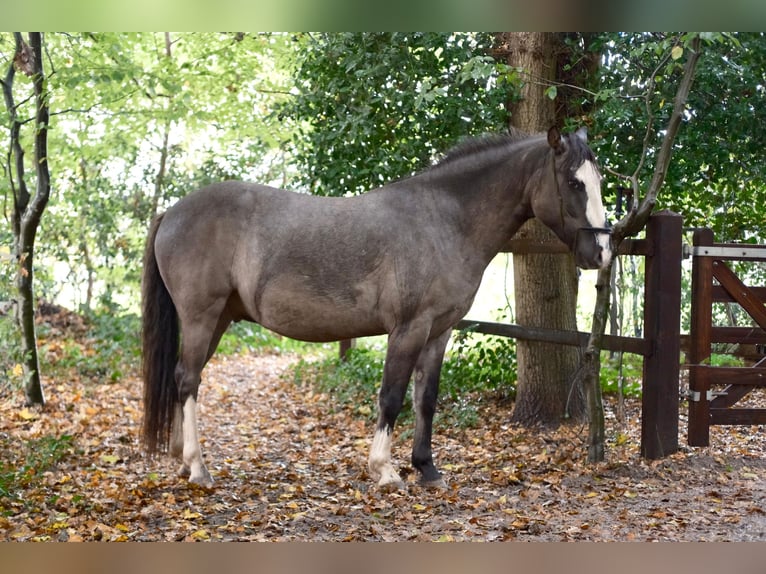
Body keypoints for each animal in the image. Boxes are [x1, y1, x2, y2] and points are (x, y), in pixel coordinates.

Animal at [141, 126, 612, 489]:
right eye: (574, 183)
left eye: (598, 181)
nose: (602, 252)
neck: (444, 221)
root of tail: (171, 213)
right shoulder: (408, 329)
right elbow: (391, 396)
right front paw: (385, 470)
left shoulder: (438, 332)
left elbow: (426, 398)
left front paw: (427, 469)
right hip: (201, 317)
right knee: (188, 380)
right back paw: (198, 468)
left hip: (219, 319)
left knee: (186, 379)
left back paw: (183, 460)